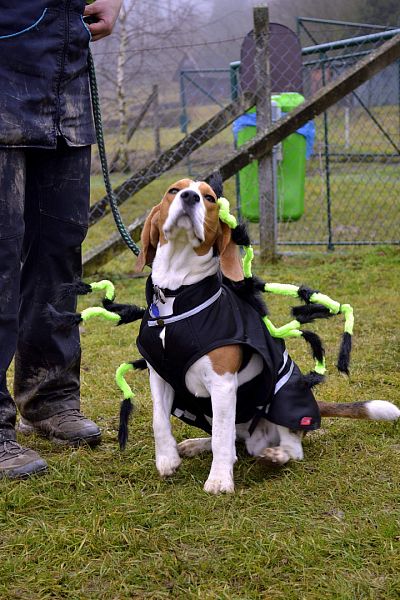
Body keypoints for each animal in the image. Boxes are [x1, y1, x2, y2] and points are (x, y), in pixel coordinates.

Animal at [134, 176, 400, 494]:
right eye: (173, 191)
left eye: (209, 198)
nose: (189, 197)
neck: (176, 293)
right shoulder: (159, 376)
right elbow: (159, 420)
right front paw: (167, 459)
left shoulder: (223, 383)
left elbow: (222, 437)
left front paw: (220, 480)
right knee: (234, 438)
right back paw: (198, 444)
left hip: (283, 400)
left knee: (288, 448)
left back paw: (275, 456)